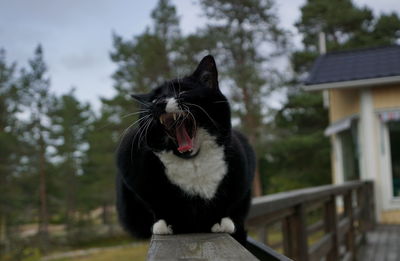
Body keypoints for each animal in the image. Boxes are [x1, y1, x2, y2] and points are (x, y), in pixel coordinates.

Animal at [115, 54, 256, 244]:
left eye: (182, 92)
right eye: (152, 100)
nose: (159, 103)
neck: (192, 162)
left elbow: (228, 203)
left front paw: (221, 221)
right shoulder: (129, 163)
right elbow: (157, 203)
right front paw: (165, 224)